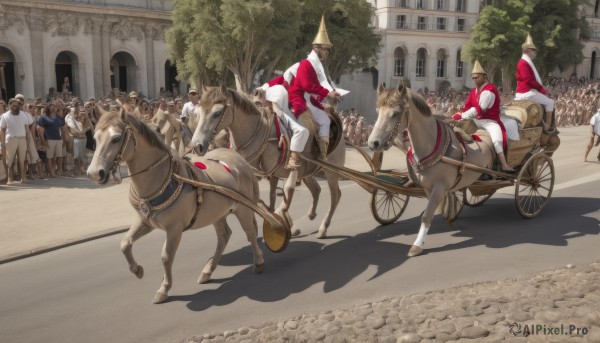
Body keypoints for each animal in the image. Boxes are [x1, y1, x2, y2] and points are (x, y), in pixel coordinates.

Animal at [88, 107, 266, 304]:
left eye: (116, 138)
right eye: (95, 138)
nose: (95, 173)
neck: (160, 178)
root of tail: (238, 159)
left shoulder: (174, 228)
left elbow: (166, 256)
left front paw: (164, 288)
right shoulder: (145, 222)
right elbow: (125, 243)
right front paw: (137, 270)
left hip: (243, 209)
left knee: (250, 232)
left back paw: (258, 262)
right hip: (216, 213)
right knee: (224, 236)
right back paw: (208, 271)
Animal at [190, 85, 344, 239]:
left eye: (217, 113)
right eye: (198, 113)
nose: (197, 145)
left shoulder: (291, 167)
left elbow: (287, 190)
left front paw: (281, 217)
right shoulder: (261, 175)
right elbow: (265, 198)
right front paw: (283, 221)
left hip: (330, 171)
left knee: (335, 196)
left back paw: (323, 228)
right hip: (307, 171)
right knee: (316, 189)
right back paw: (311, 215)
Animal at [368, 82, 494, 255]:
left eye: (395, 113)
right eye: (378, 111)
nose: (373, 143)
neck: (431, 145)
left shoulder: (439, 187)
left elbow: (427, 215)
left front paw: (417, 245)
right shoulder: (428, 187)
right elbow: (434, 210)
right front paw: (448, 217)